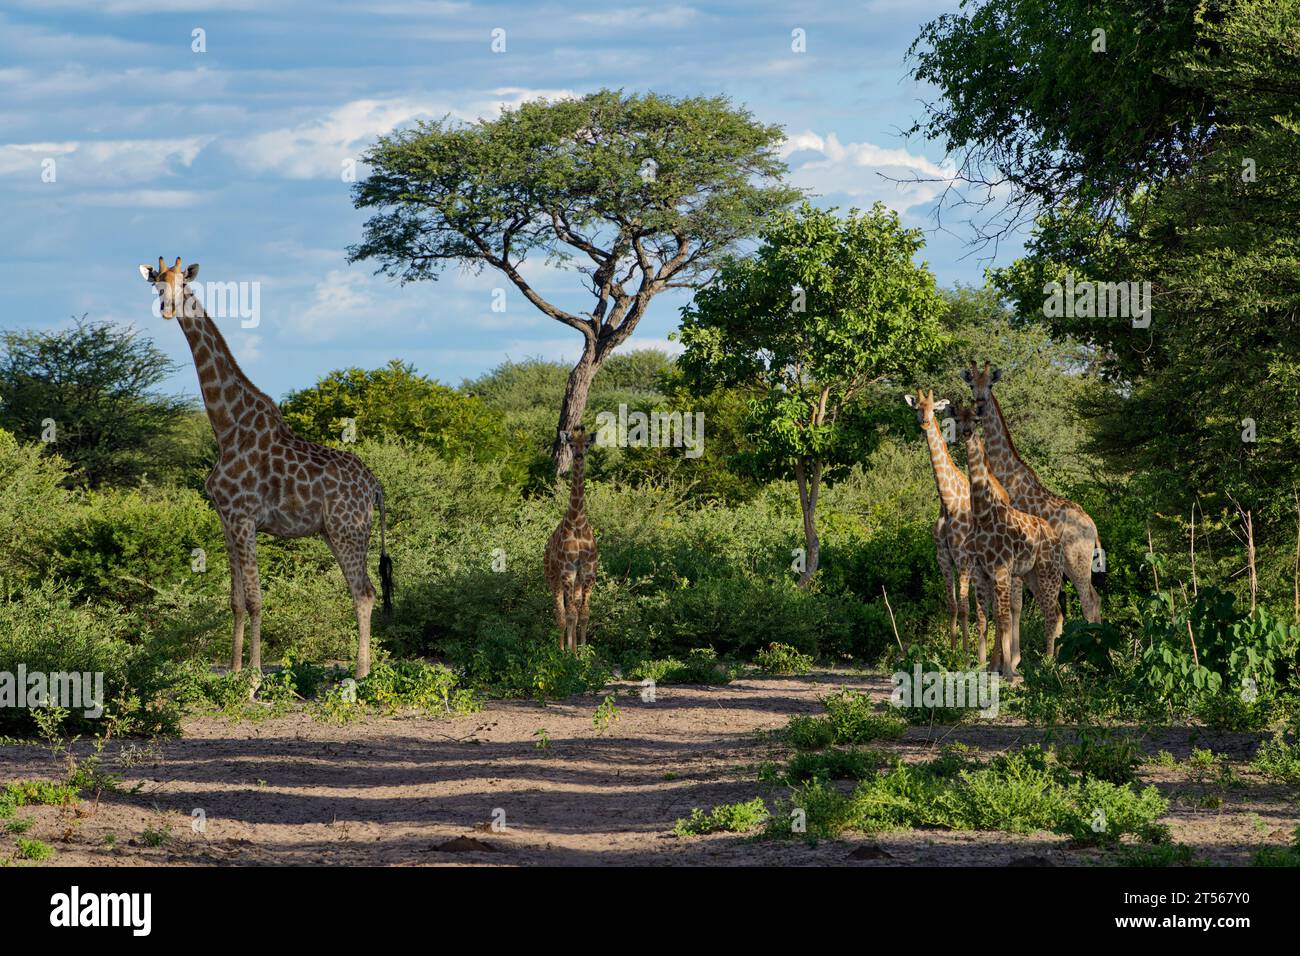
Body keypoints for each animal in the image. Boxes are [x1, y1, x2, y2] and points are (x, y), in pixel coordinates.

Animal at [139, 257, 393, 679]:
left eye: (184, 285)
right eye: (157, 285)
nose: (167, 309)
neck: (226, 427)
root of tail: (374, 485)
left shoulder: (245, 517)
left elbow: (256, 599)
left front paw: (255, 676)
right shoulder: (226, 520)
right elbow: (236, 600)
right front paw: (234, 669)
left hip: (349, 530)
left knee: (365, 591)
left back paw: (361, 676)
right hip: (332, 532)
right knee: (363, 590)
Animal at [904, 389, 994, 668]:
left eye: (934, 408)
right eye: (917, 408)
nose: (924, 422)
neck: (947, 501)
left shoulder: (962, 556)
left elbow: (964, 607)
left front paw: (964, 658)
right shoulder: (943, 556)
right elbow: (953, 604)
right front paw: (953, 654)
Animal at [954, 403, 1063, 676]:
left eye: (975, 419)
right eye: (958, 419)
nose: (967, 432)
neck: (983, 514)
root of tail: (1056, 537)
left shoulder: (1001, 569)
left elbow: (1003, 618)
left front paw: (1008, 672)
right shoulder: (982, 570)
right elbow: (988, 617)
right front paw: (989, 666)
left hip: (1049, 571)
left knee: (1052, 614)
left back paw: (1049, 665)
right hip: (1032, 575)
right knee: (1056, 612)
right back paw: (1058, 661)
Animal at [962, 361, 1102, 624]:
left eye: (991, 384)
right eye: (972, 384)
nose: (980, 403)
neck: (1005, 471)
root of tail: (1093, 528)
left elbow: (1014, 605)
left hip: (1076, 562)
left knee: (1088, 601)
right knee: (1096, 598)